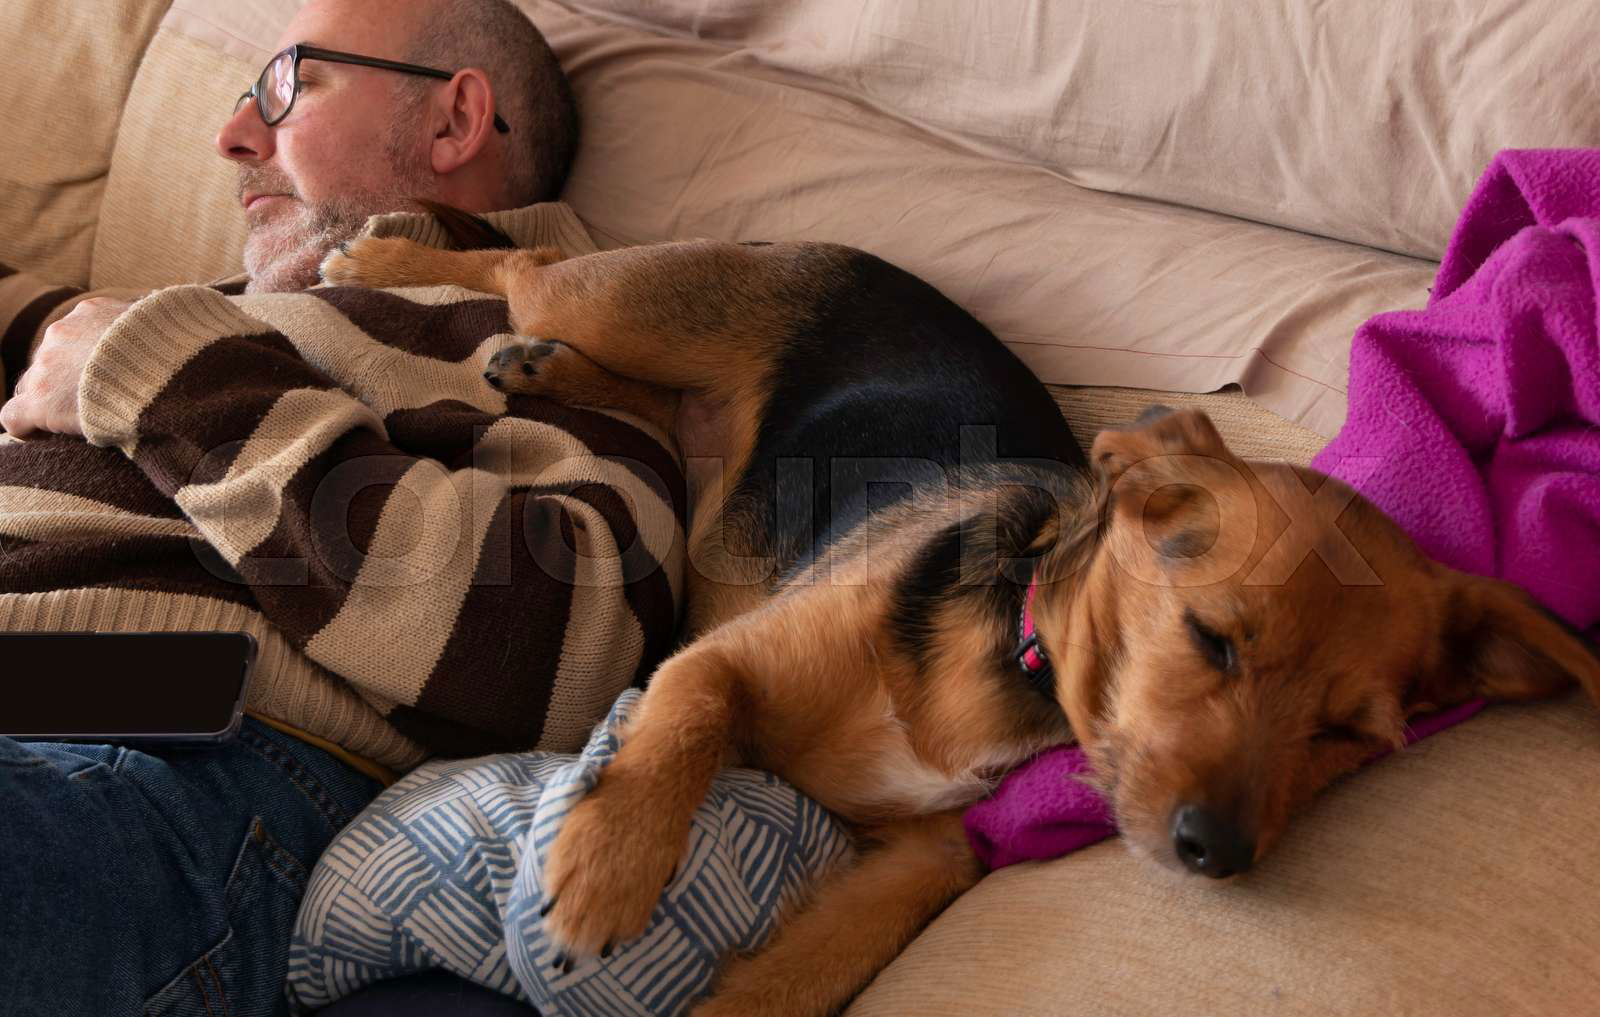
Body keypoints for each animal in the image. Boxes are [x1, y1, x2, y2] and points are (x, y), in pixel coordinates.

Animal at [321, 215, 1600, 1017]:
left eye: (1351, 738)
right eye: (1213, 641)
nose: (1217, 855)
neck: (1015, 667)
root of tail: (848, 252)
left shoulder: (917, 859)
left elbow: (807, 972)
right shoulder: (721, 663)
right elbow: (680, 726)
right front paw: (604, 870)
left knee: (631, 384)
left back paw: (539, 372)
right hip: (626, 297)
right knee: (533, 255)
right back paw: (379, 251)